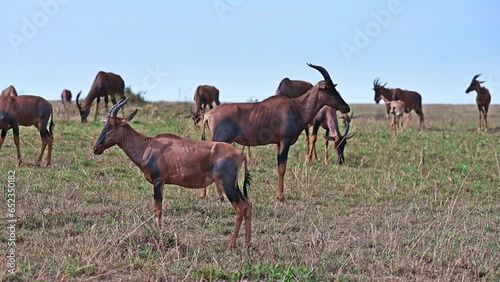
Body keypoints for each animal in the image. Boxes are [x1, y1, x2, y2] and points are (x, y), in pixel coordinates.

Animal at [93, 98, 252, 250]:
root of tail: (241, 154)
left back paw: (231, 245)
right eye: (105, 124)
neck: (148, 145)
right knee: (247, 204)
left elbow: (157, 209)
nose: (96, 148)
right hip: (234, 185)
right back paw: (247, 244)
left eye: (111, 126)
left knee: (240, 208)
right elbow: (158, 208)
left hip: (226, 184)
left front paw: (158, 235)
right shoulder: (162, 182)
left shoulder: (158, 181)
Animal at [201, 64, 350, 202]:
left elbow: (280, 168)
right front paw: (281, 197)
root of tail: (208, 115)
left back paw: (207, 195)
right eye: (328, 88)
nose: (346, 107)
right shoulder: (285, 141)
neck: (296, 106)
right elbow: (282, 168)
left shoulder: (279, 143)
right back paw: (220, 197)